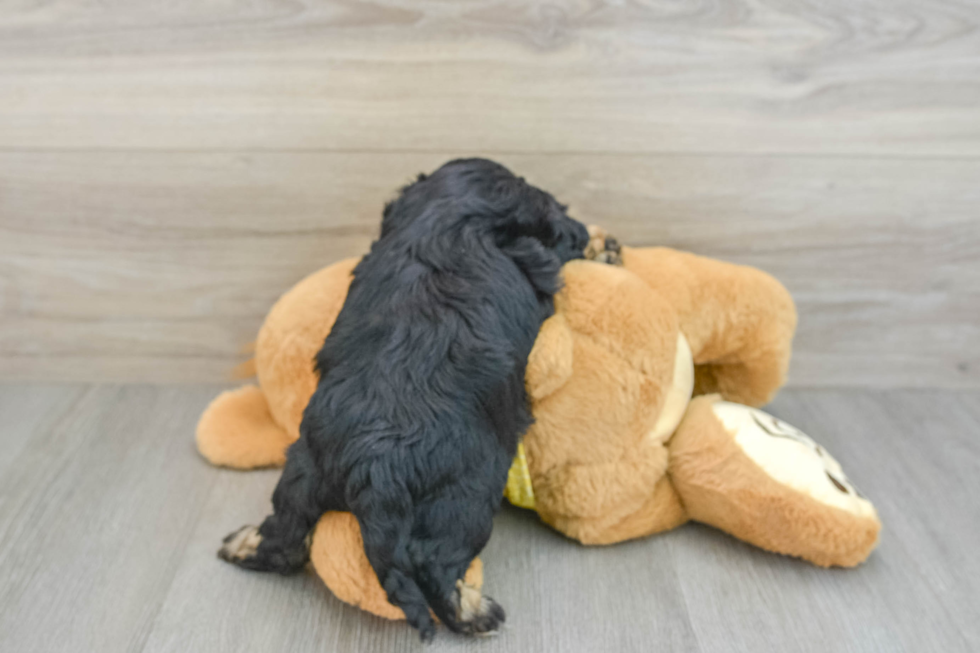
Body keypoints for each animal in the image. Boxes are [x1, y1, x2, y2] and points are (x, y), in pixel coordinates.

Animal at [220, 160, 588, 640]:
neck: (448, 217)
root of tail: (374, 469)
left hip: (303, 470)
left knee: (285, 535)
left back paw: (243, 545)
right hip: (464, 500)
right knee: (437, 567)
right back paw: (477, 614)